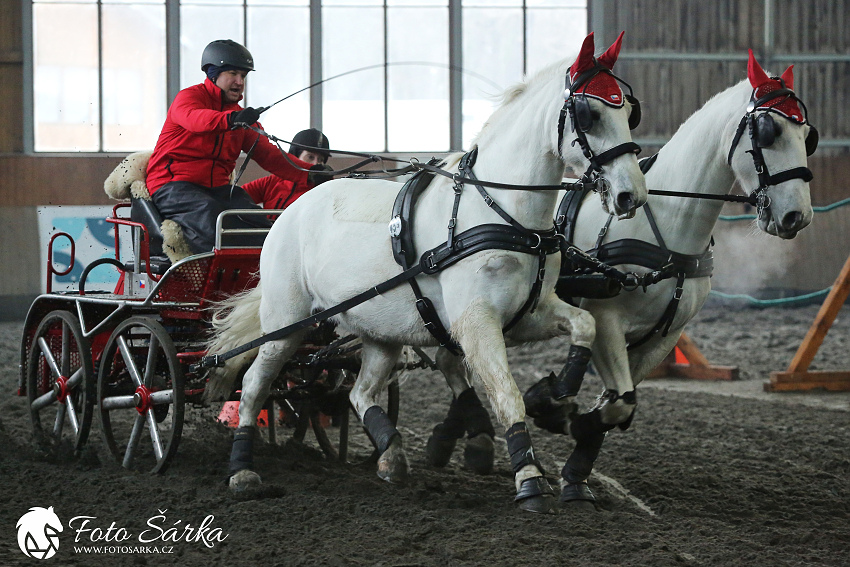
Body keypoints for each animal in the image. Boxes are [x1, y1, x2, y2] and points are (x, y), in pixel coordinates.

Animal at [205, 32, 644, 516]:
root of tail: (289, 212)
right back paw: (242, 471)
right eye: (591, 114)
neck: (504, 215)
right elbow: (506, 394)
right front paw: (529, 478)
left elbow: (583, 324)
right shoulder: (475, 323)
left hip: (379, 333)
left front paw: (559, 394)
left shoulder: (530, 313)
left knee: (360, 393)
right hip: (287, 323)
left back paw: (392, 457)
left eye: (629, 110)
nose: (632, 195)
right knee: (254, 384)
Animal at [430, 48, 816, 506]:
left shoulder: (663, 337)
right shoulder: (608, 320)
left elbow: (620, 404)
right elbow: (616, 399)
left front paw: (576, 469)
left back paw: (461, 437)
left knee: (450, 357)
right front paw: (554, 411)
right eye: (768, 131)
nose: (797, 216)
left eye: (807, 134)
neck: (665, 225)